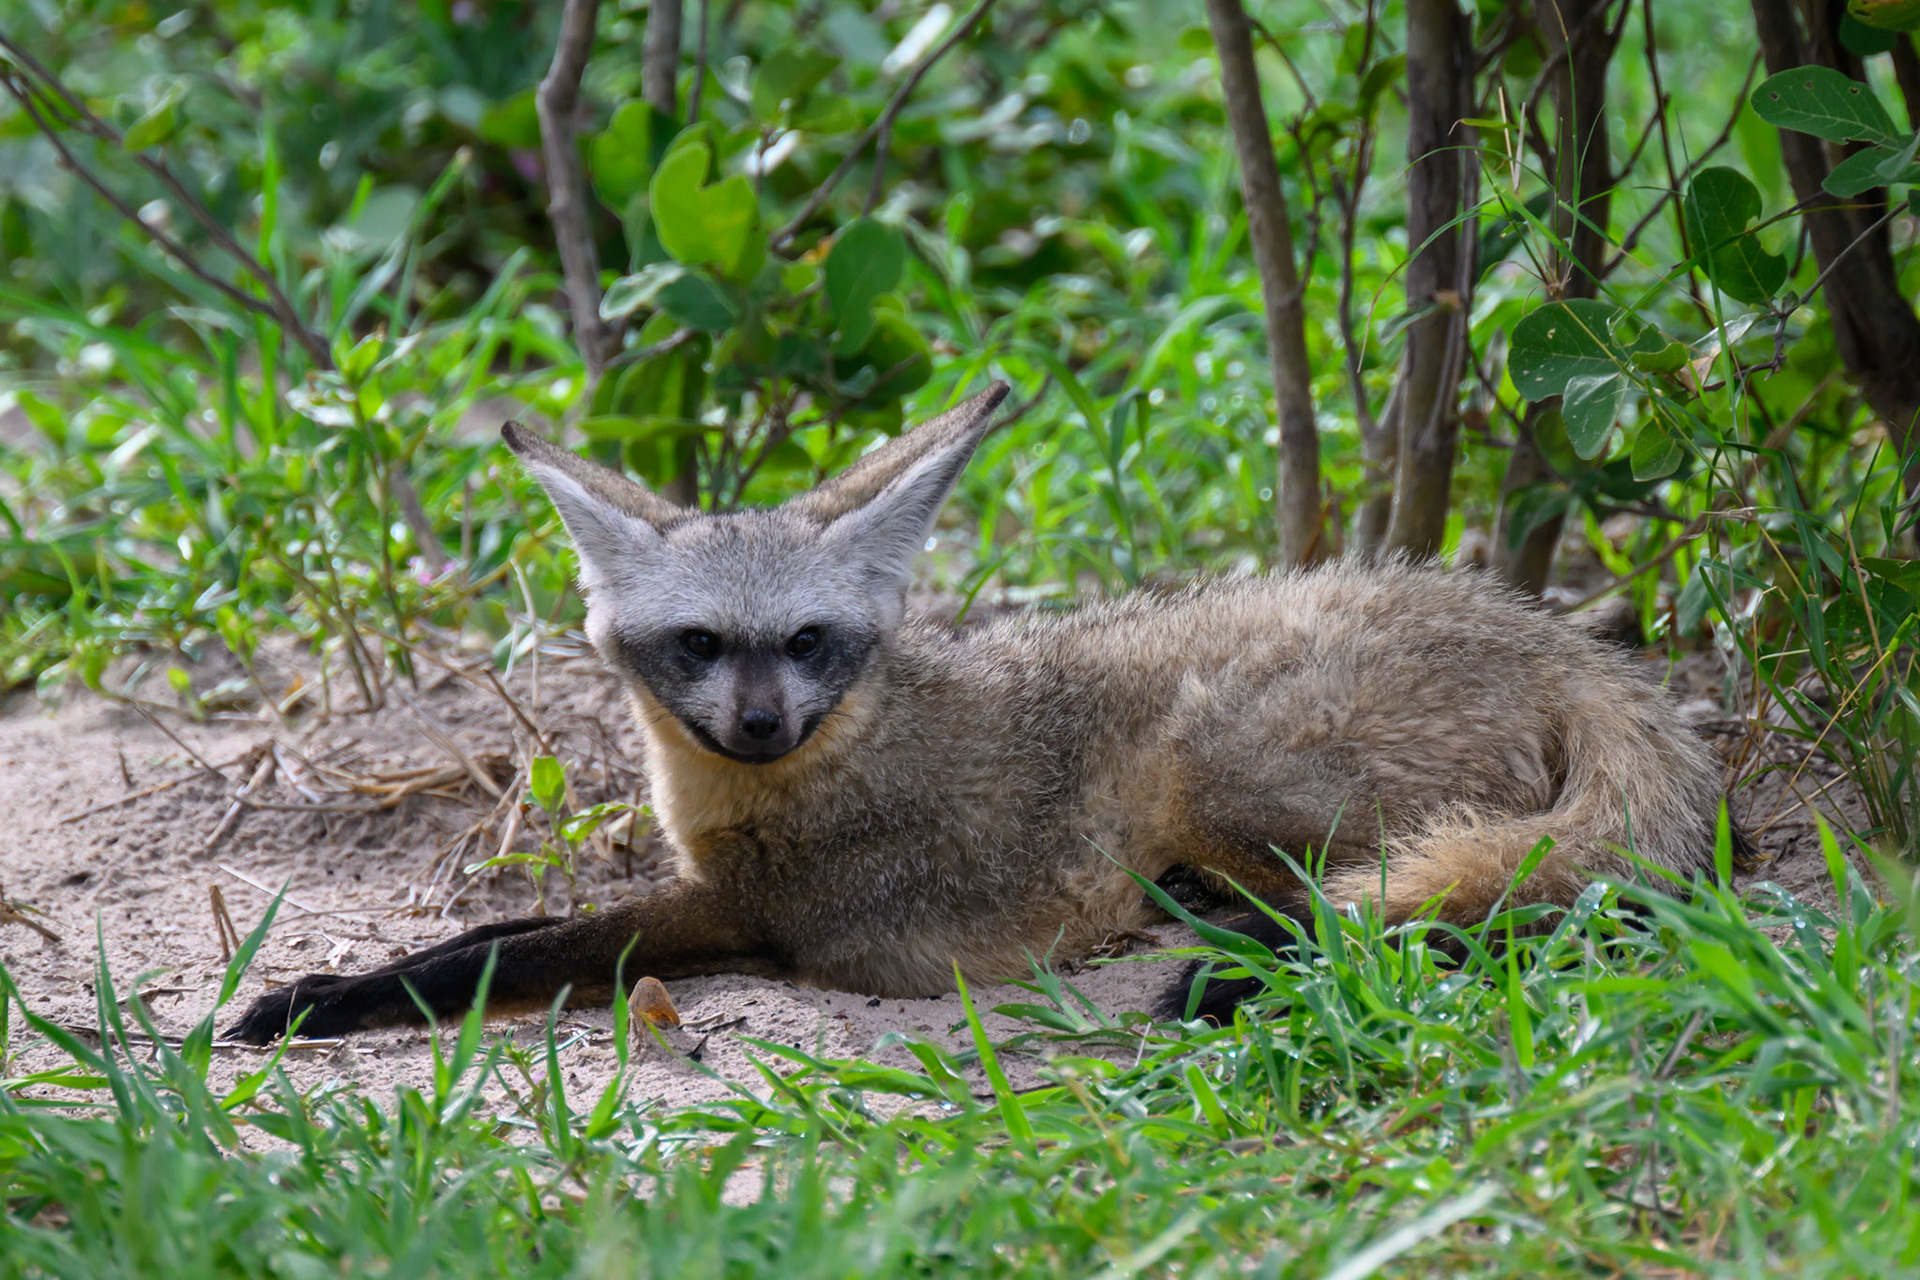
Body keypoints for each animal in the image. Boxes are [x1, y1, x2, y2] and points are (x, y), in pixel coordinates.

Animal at [229, 381, 1743, 1044]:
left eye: (810, 644)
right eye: (701, 646)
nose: (762, 725)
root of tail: (1551, 634)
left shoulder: (751, 918)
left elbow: (507, 953)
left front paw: (322, 1000)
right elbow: (491, 929)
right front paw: (312, 986)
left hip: (1209, 767)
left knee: (1476, 905)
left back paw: (1243, 966)